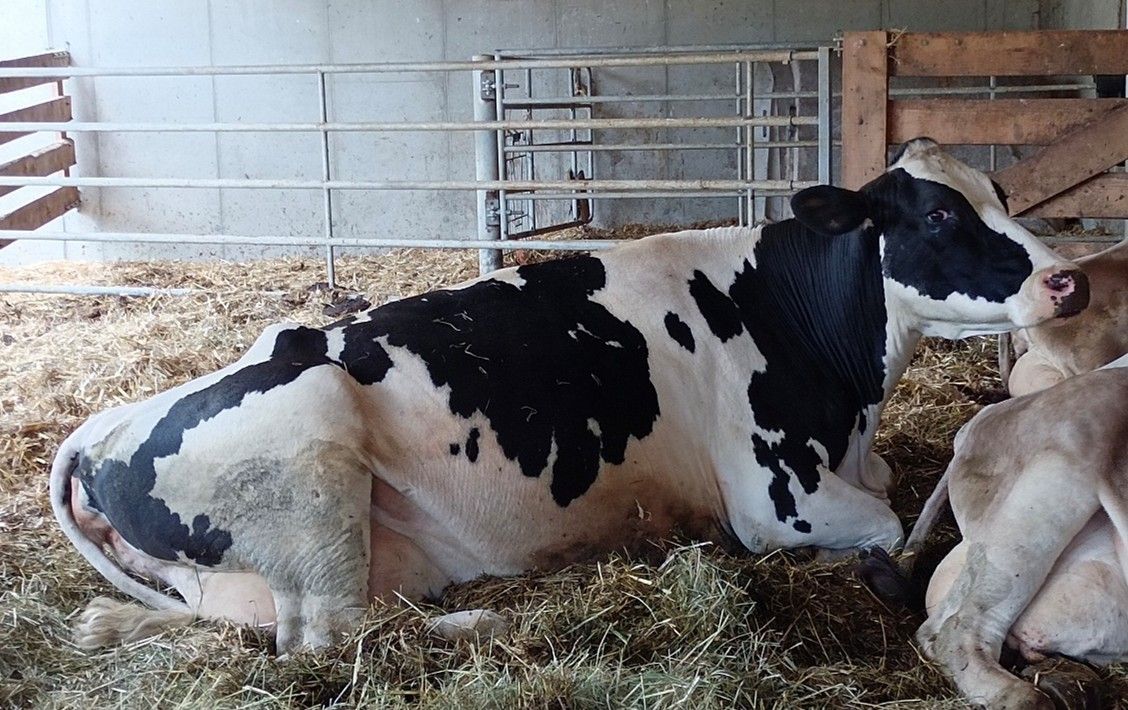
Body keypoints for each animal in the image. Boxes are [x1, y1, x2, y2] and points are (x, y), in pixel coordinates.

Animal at [50, 138, 1090, 654]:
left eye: (1000, 193)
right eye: (939, 215)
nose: (1068, 280)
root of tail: (105, 426)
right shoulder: (778, 499)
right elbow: (886, 525)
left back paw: (107, 622)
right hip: (312, 449)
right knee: (326, 637)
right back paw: (489, 621)